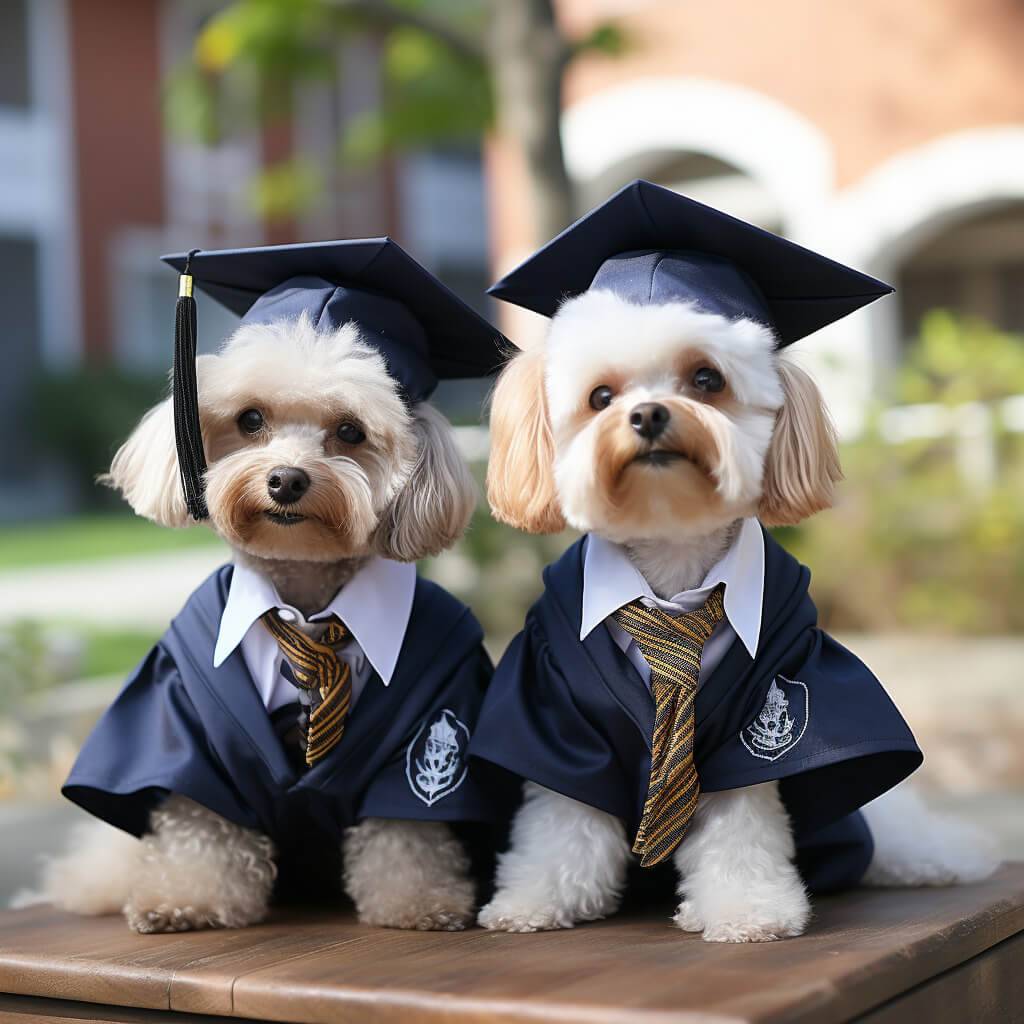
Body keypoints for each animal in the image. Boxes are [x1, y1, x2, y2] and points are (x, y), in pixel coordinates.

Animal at [471, 290, 999, 942]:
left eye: (706, 379)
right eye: (600, 396)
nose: (648, 415)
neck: (673, 569)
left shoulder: (765, 695)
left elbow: (740, 824)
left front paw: (747, 910)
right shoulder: (555, 705)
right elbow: (563, 815)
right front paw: (537, 898)